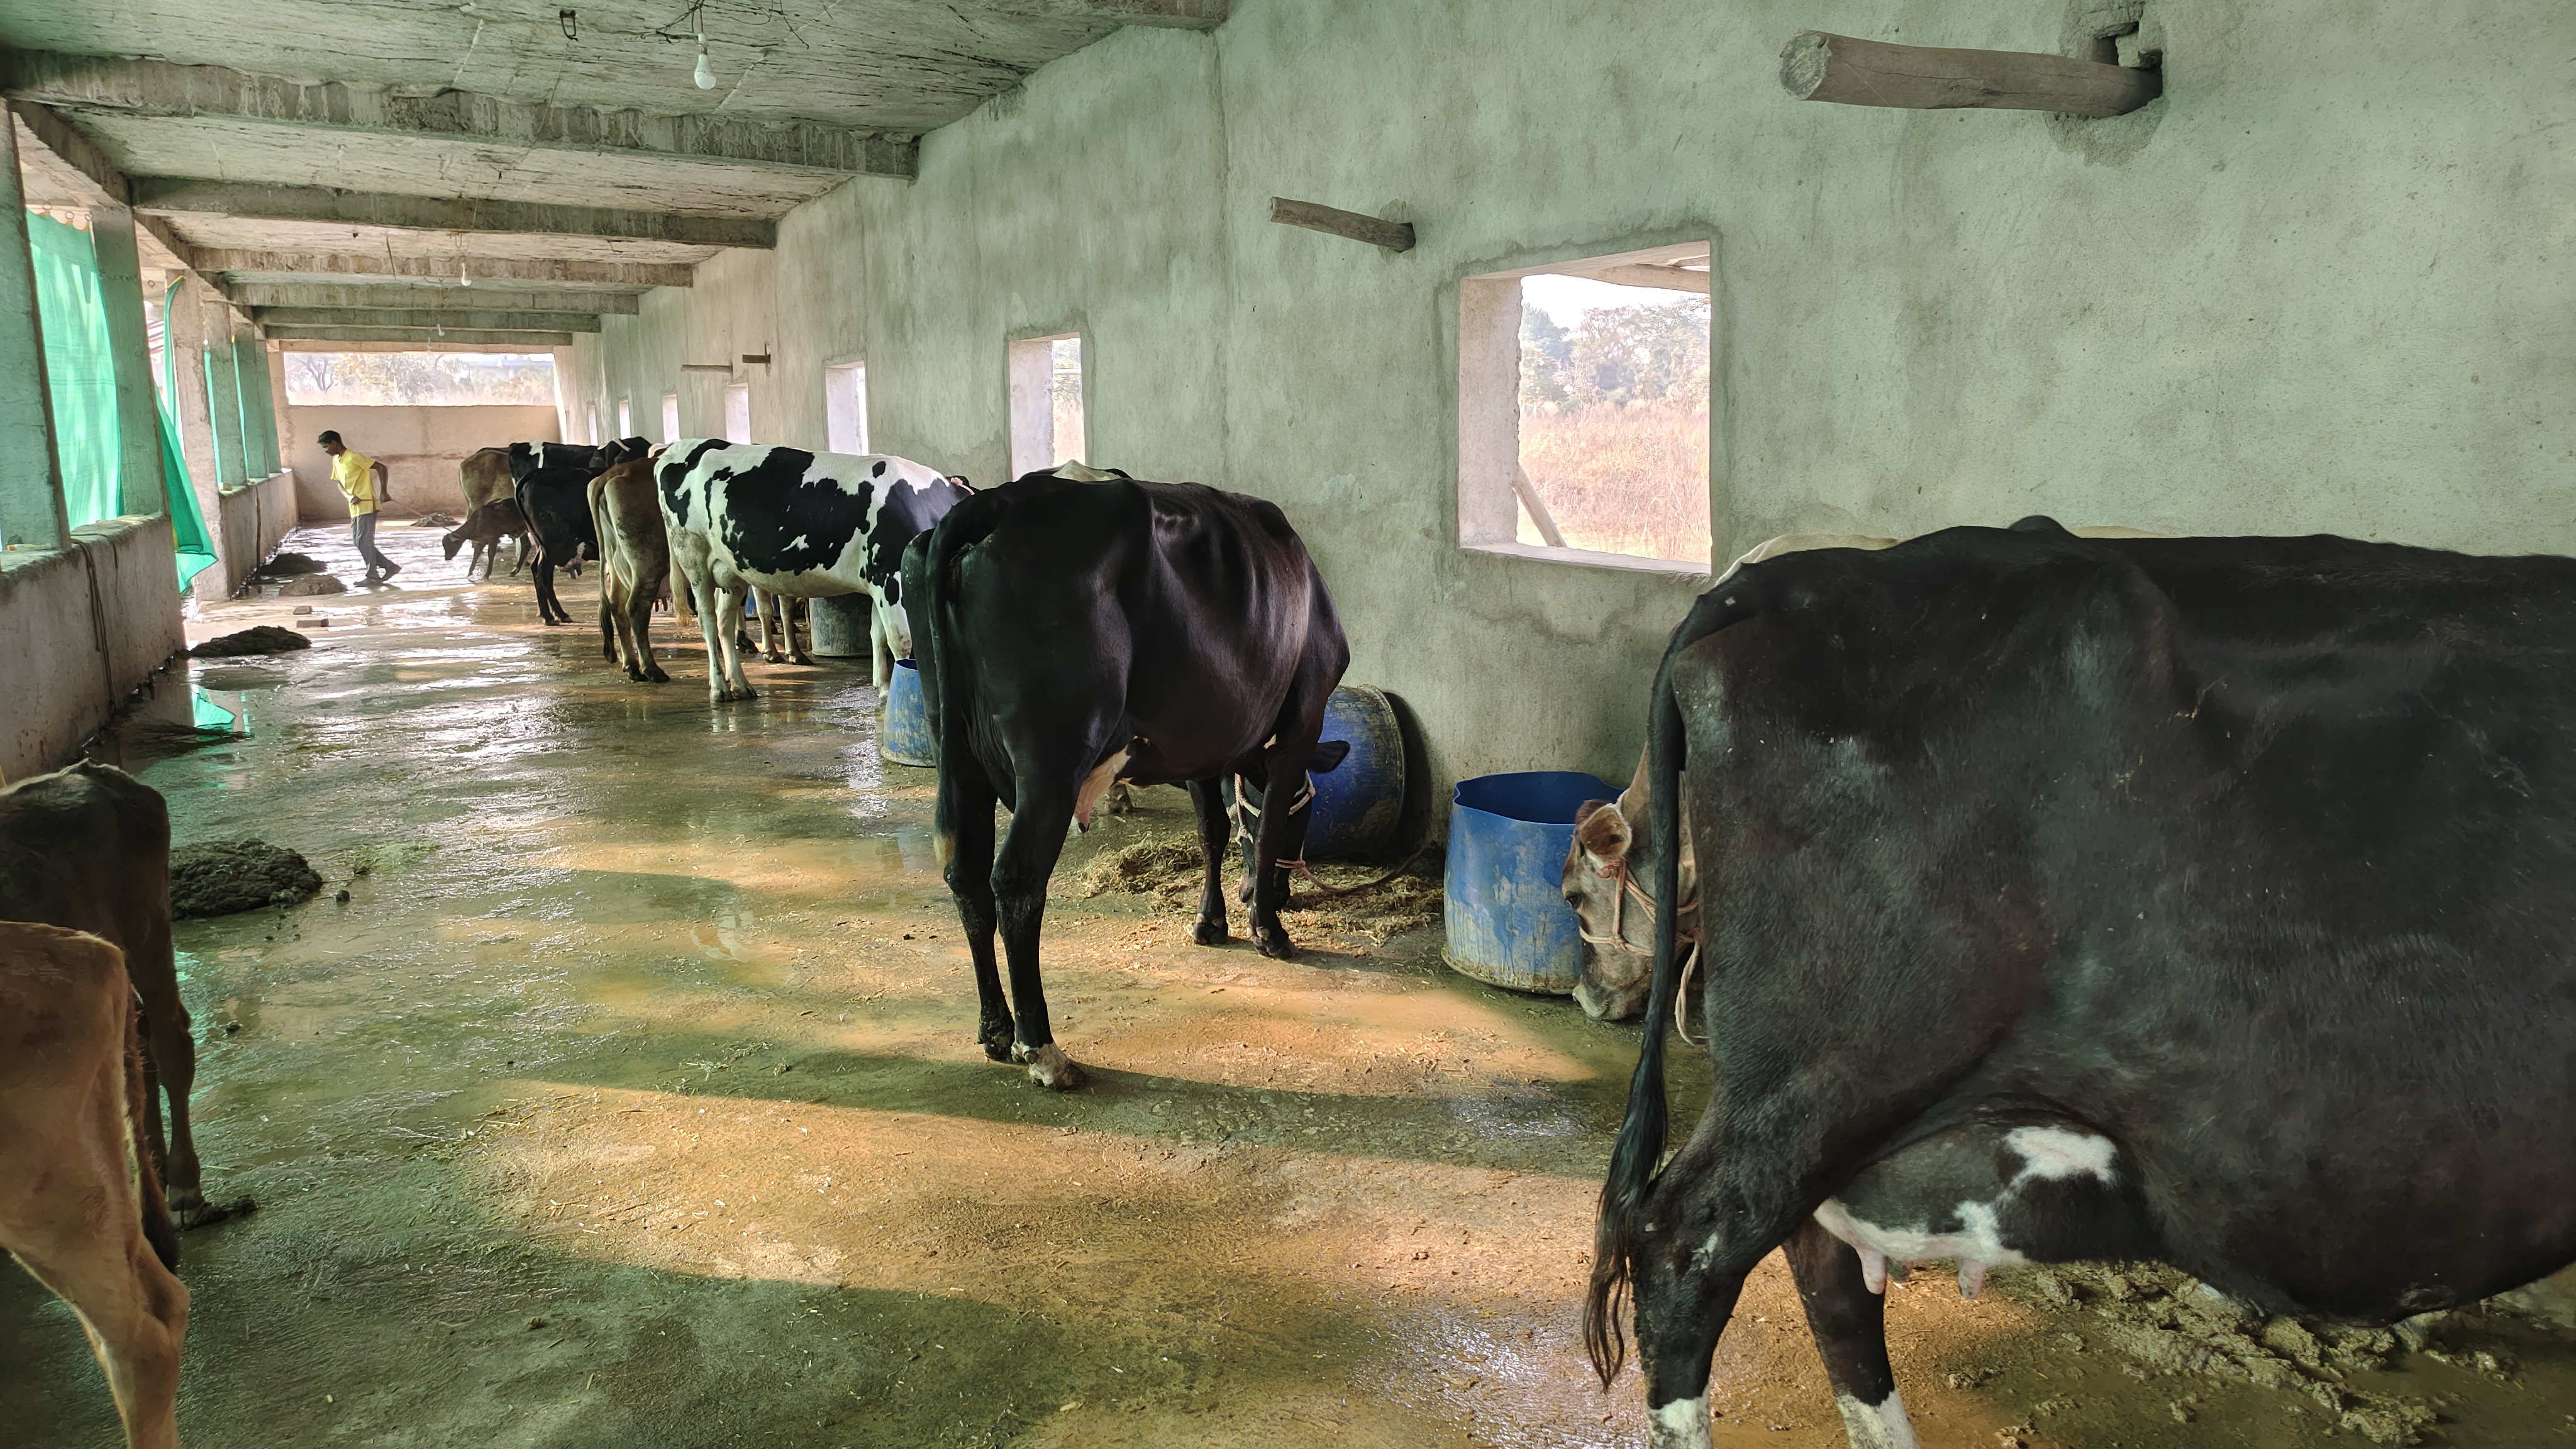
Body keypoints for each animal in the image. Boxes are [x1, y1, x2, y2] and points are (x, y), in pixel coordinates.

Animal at [656, 440, 972, 702]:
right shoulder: (889, 579)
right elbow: (901, 642)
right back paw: (720, 688)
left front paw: (882, 687)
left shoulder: (876, 582)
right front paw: (896, 691)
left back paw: (741, 685)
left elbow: (877, 635)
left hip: (731, 571)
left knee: (724, 622)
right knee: (708, 622)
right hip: (694, 558)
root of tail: (680, 447)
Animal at [904, 469, 1350, 1089]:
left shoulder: (1200, 743)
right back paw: (1042, 1049)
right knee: (1014, 879)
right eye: (1307, 813)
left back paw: (995, 1030)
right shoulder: (1303, 721)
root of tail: (994, 502)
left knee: (965, 875)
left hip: (956, 747)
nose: (1286, 894)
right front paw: (1268, 929)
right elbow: (1259, 838)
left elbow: (1212, 830)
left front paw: (1211, 922)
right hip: (1054, 753)